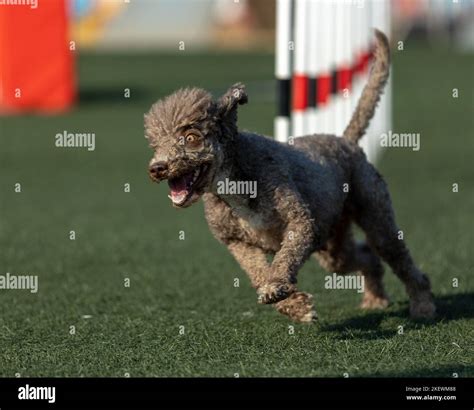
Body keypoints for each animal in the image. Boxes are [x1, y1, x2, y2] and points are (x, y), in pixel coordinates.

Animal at [145, 29, 436, 324]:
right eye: (155, 144)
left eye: (191, 137)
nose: (157, 168)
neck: (235, 181)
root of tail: (346, 141)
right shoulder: (237, 242)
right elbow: (258, 273)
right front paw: (294, 305)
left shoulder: (300, 222)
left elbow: (284, 258)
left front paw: (278, 288)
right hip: (333, 246)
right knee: (364, 258)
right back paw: (375, 299)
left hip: (375, 216)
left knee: (400, 259)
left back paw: (423, 306)